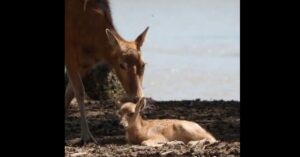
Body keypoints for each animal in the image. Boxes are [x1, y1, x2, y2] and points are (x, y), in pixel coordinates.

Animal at [64, 0, 149, 145]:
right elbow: (80, 92)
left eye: (143, 64)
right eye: (121, 65)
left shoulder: (86, 65)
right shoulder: (69, 55)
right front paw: (86, 137)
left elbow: (69, 93)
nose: (138, 98)